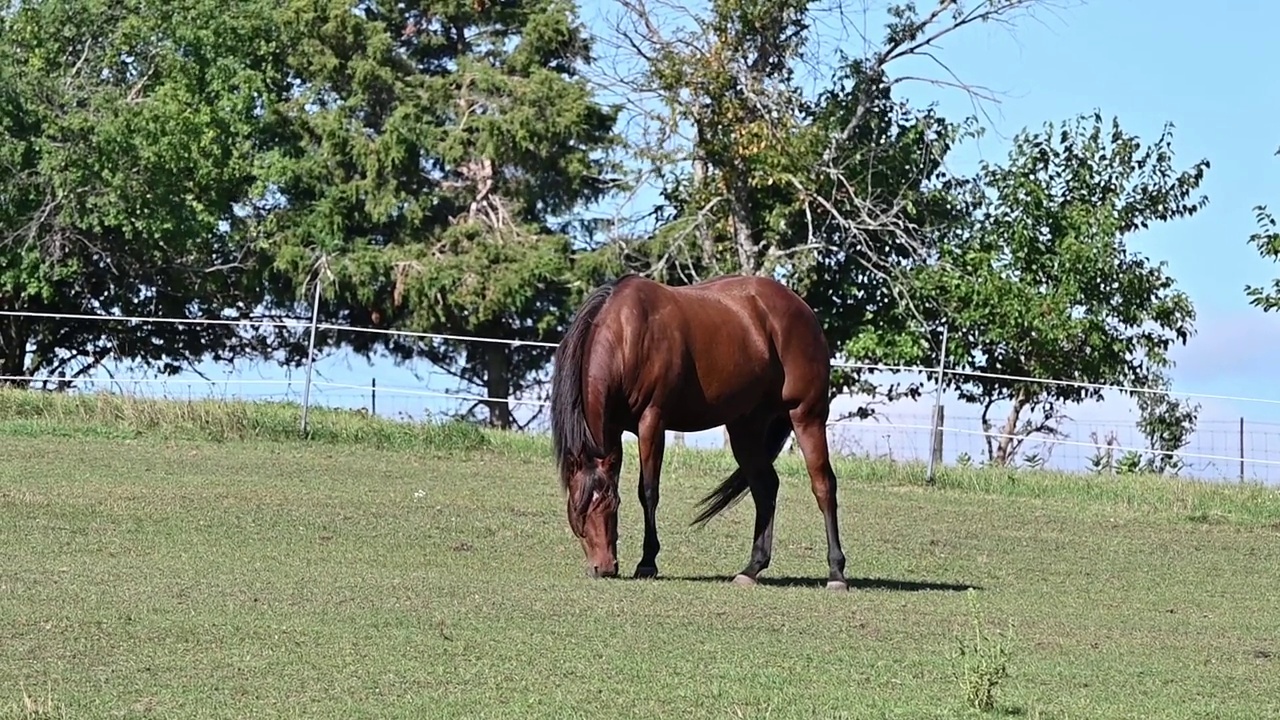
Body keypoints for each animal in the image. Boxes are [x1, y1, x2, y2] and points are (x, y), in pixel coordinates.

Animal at [550, 270, 849, 589]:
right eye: (578, 508)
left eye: (612, 504)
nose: (604, 568)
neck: (627, 335)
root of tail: (802, 309)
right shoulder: (613, 432)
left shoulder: (652, 422)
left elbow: (648, 491)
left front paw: (647, 562)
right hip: (746, 427)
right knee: (765, 487)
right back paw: (751, 569)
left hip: (807, 416)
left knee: (823, 485)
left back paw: (836, 573)